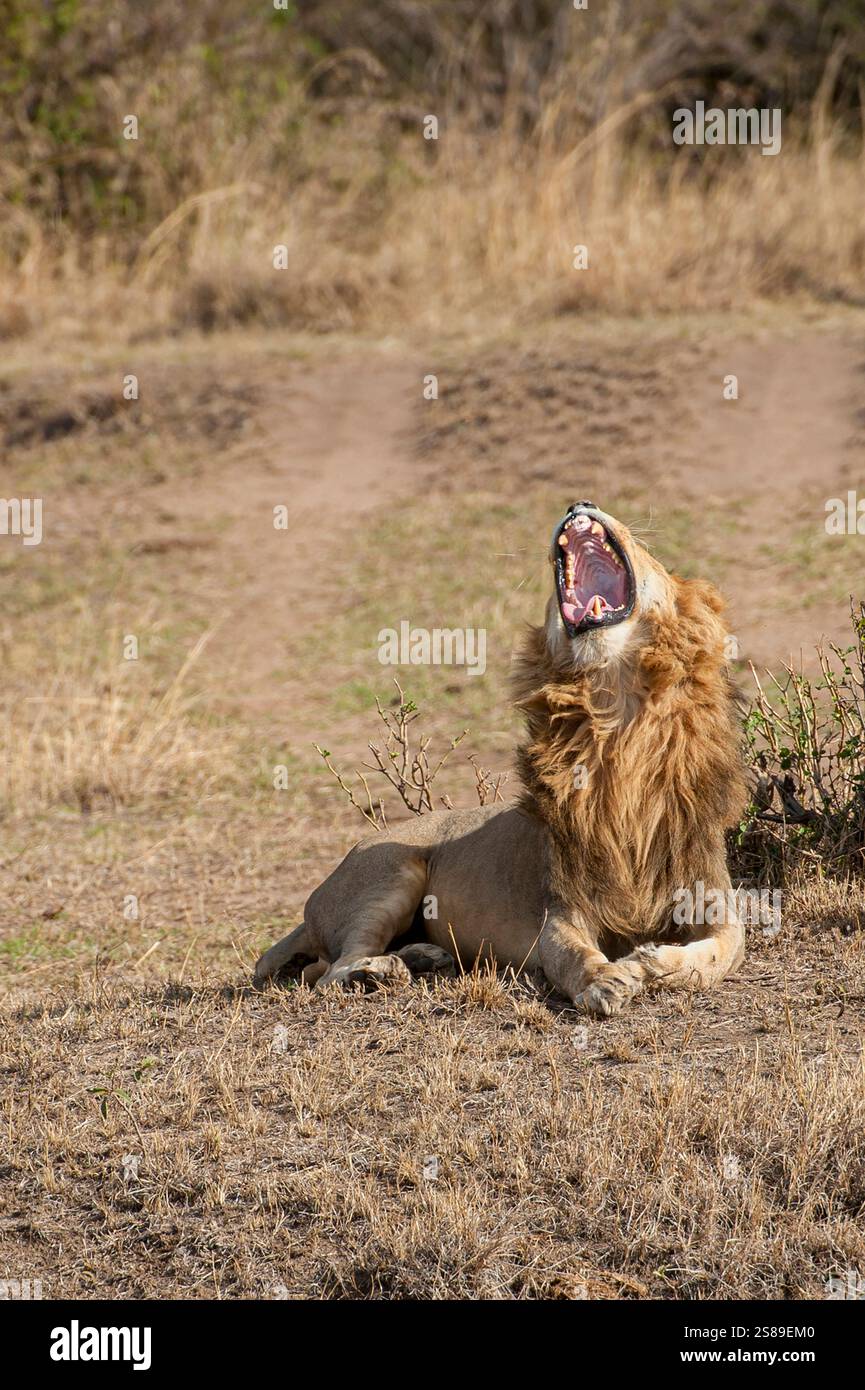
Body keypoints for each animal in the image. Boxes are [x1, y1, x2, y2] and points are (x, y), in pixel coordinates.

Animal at [254, 501, 749, 1016]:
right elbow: (576, 956)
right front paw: (604, 981)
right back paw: (381, 972)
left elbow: (721, 954)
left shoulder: (711, 899)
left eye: (651, 554)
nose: (579, 505)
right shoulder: (561, 913)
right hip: (390, 872)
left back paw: (424, 957)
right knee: (328, 971)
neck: (617, 709)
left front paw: (650, 963)